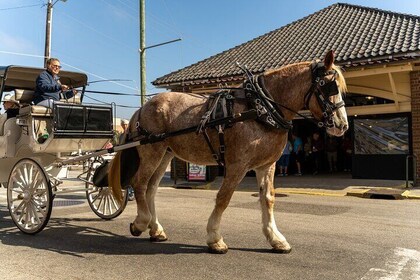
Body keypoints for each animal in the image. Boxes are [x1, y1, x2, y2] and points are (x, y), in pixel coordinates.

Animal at [107, 49, 348, 254]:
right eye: (329, 86)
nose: (342, 125)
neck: (261, 108)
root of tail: (142, 107)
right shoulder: (237, 164)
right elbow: (224, 198)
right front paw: (215, 238)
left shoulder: (266, 165)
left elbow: (268, 199)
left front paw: (276, 238)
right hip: (151, 150)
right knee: (140, 183)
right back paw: (141, 222)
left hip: (165, 153)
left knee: (151, 189)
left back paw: (156, 229)